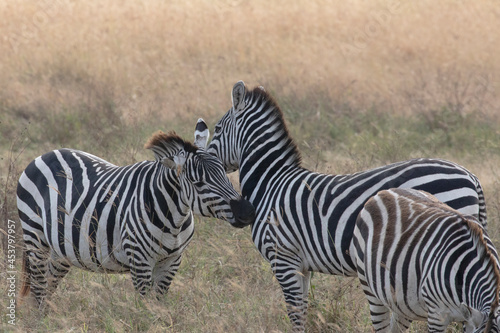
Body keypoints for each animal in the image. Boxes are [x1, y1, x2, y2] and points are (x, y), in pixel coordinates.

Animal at [17, 123, 256, 308]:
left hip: (62, 249)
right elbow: (145, 308)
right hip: (35, 238)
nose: (248, 212)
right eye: (198, 183)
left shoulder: (172, 261)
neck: (175, 219)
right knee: (38, 286)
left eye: (225, 173)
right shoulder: (140, 261)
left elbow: (159, 304)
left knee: (48, 285)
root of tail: (45, 154)